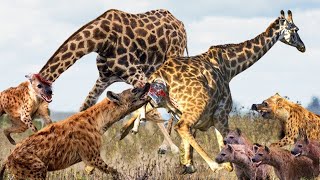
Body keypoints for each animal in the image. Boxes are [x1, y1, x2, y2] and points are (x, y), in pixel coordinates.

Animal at [38, 9, 188, 112]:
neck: (100, 41)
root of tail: (181, 24)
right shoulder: (104, 79)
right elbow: (84, 107)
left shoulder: (137, 74)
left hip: (173, 58)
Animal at [120, 9, 304, 173]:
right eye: (295, 29)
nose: (302, 47)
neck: (230, 67)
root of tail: (159, 75)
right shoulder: (221, 115)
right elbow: (228, 157)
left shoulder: (201, 115)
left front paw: (186, 163)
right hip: (197, 104)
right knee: (181, 126)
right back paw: (213, 165)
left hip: (163, 100)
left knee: (145, 110)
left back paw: (126, 131)